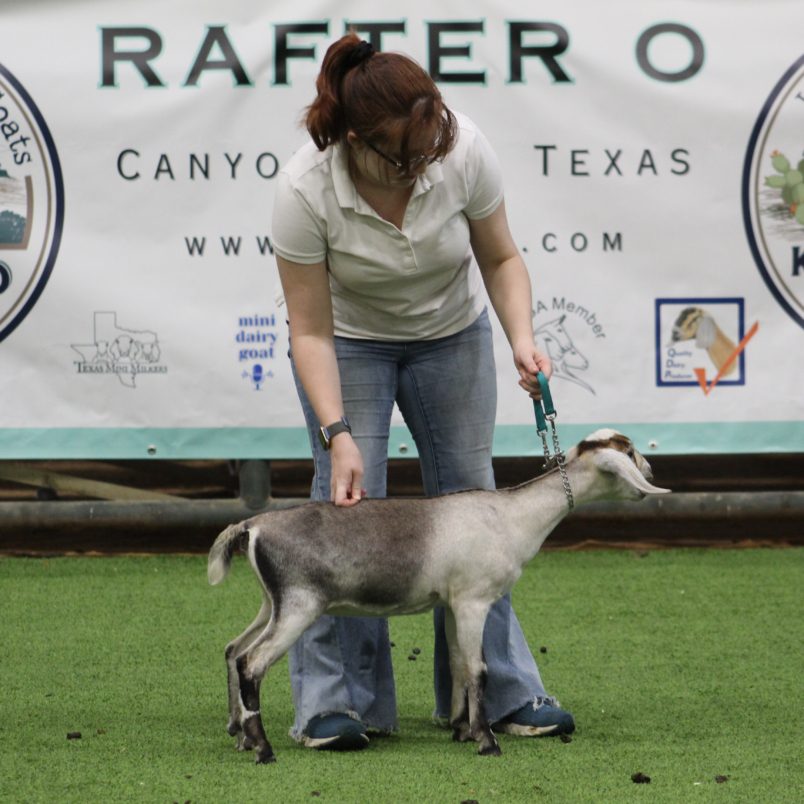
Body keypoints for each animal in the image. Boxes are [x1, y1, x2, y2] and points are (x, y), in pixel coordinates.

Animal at [207, 428, 664, 760]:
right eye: (629, 451)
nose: (652, 470)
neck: (511, 516)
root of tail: (252, 525)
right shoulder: (474, 600)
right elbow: (478, 669)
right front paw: (487, 741)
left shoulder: (451, 604)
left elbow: (459, 664)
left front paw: (462, 730)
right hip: (299, 605)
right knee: (251, 662)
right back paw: (263, 748)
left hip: (273, 602)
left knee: (232, 648)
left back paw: (240, 735)